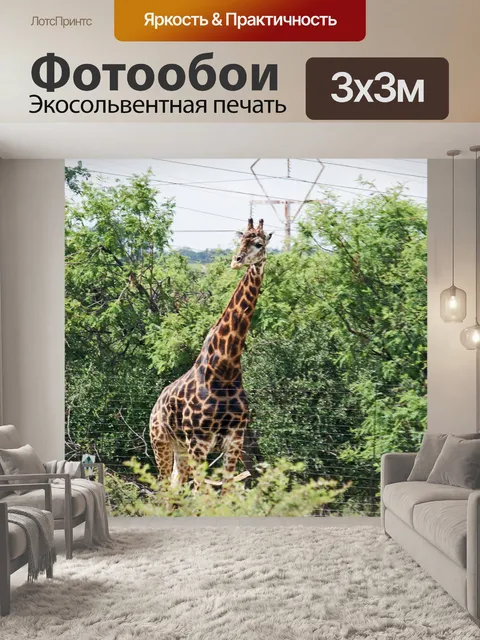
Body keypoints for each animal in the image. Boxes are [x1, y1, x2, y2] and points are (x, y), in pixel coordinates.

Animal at [149, 217, 273, 487]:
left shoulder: (234, 440)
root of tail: (156, 404)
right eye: (241, 240)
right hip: (161, 442)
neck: (225, 368)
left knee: (175, 487)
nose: (237, 260)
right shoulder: (199, 442)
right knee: (163, 488)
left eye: (259, 243)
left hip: (181, 450)